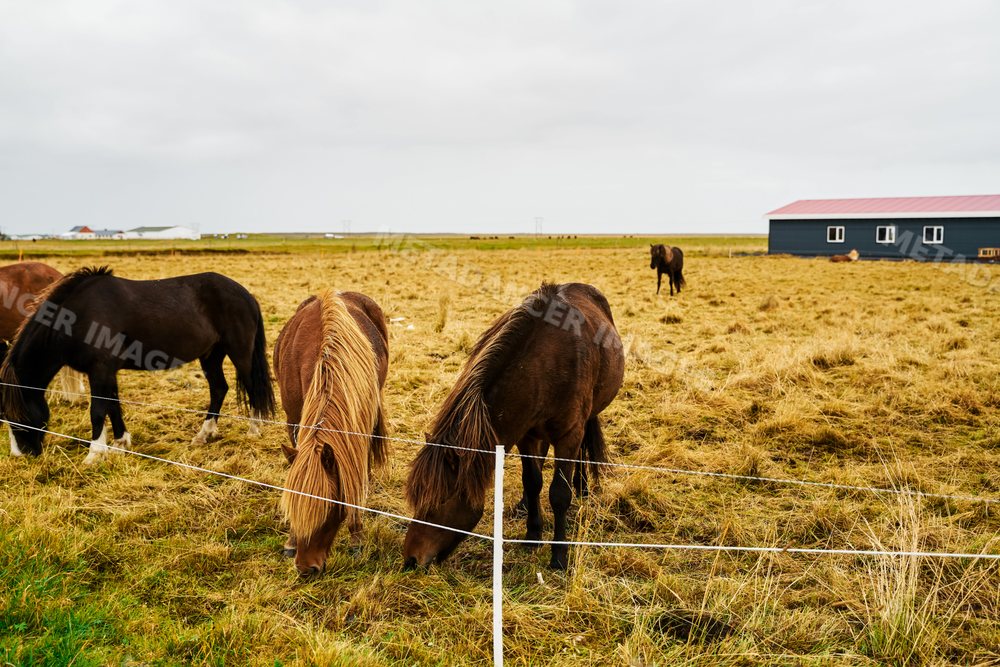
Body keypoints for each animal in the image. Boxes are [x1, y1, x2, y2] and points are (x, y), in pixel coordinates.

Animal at [0, 267, 275, 463]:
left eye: (18, 416)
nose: (21, 455)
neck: (79, 316)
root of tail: (245, 294)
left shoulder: (99, 370)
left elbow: (97, 411)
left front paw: (94, 454)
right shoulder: (107, 372)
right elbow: (113, 406)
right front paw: (121, 443)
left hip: (239, 353)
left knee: (252, 388)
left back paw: (254, 430)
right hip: (211, 355)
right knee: (219, 389)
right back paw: (204, 434)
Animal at [403, 282, 624, 570]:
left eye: (440, 500)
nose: (411, 559)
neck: (545, 363)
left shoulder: (568, 435)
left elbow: (559, 494)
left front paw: (559, 556)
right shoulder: (526, 434)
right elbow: (532, 481)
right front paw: (532, 535)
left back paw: (583, 486)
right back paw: (524, 504)